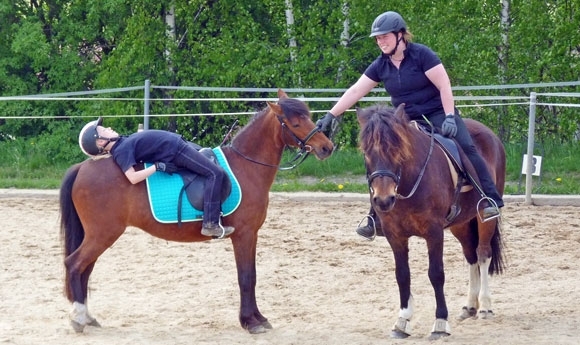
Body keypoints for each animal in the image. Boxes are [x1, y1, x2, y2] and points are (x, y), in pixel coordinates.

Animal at [59, 88, 336, 334]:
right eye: (296, 123)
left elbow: (252, 276)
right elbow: (246, 277)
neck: (246, 165)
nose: (327, 147)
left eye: (309, 116)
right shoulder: (244, 234)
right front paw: (251, 322)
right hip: (103, 234)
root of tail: (83, 167)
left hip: (99, 236)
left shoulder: (252, 234)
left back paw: (87, 317)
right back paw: (78, 318)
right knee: (74, 264)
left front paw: (258, 318)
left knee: (85, 269)